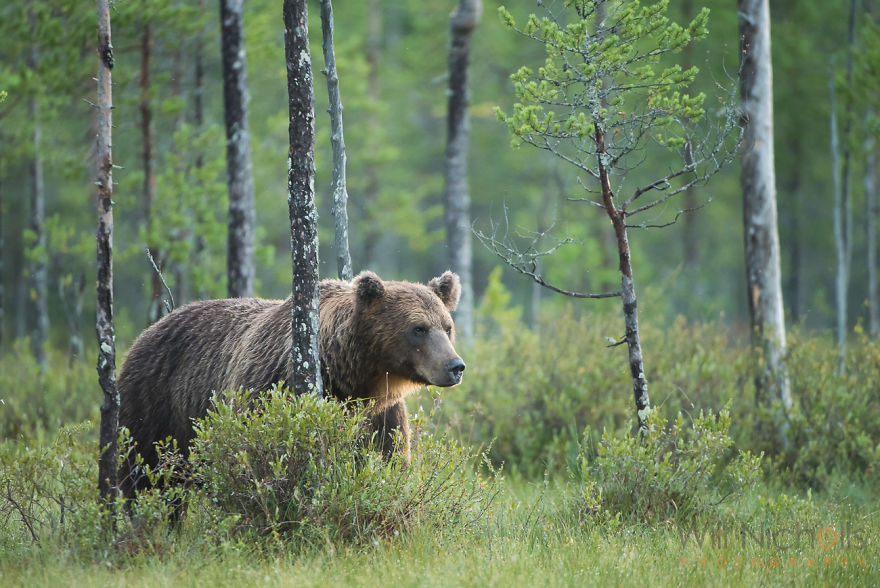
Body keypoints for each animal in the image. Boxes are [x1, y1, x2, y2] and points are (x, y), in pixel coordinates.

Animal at [117, 270, 465, 498]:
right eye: (418, 328)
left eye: (447, 327)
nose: (455, 366)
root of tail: (146, 331)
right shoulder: (271, 390)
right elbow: (262, 462)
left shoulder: (381, 415)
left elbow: (388, 456)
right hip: (155, 404)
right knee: (142, 475)